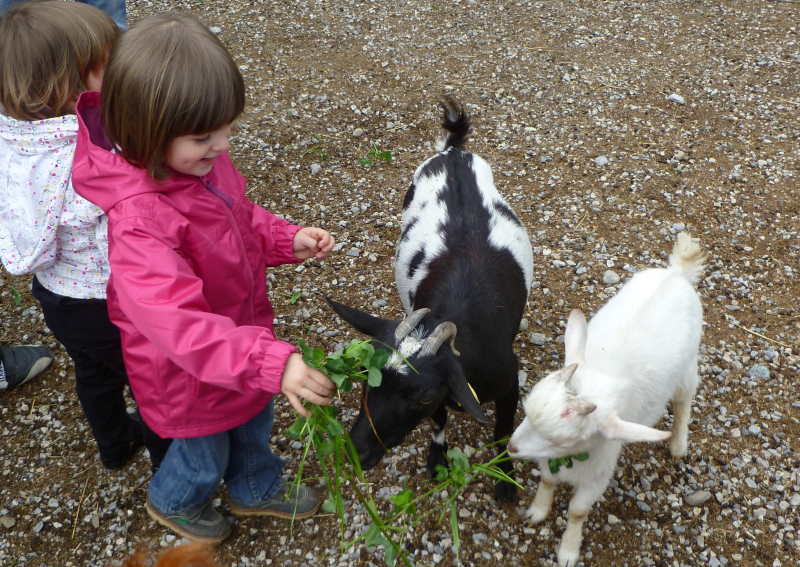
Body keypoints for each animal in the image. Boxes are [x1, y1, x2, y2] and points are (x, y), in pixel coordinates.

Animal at [328, 98, 536, 502]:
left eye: (420, 396)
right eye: (367, 378)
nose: (359, 452)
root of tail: (452, 153)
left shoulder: (508, 380)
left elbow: (502, 429)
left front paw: (505, 480)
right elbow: (440, 421)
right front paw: (437, 460)